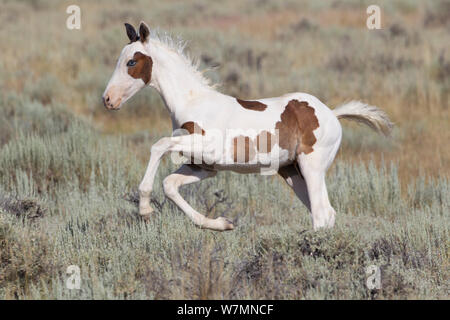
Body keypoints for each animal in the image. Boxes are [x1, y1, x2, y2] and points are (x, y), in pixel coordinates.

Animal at [103, 22, 392, 231]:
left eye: (131, 62)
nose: (108, 99)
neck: (193, 102)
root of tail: (331, 113)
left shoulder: (208, 148)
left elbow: (159, 145)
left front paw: (145, 211)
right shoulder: (203, 166)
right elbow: (170, 184)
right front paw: (222, 224)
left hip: (312, 166)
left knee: (322, 214)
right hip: (292, 172)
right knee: (325, 214)